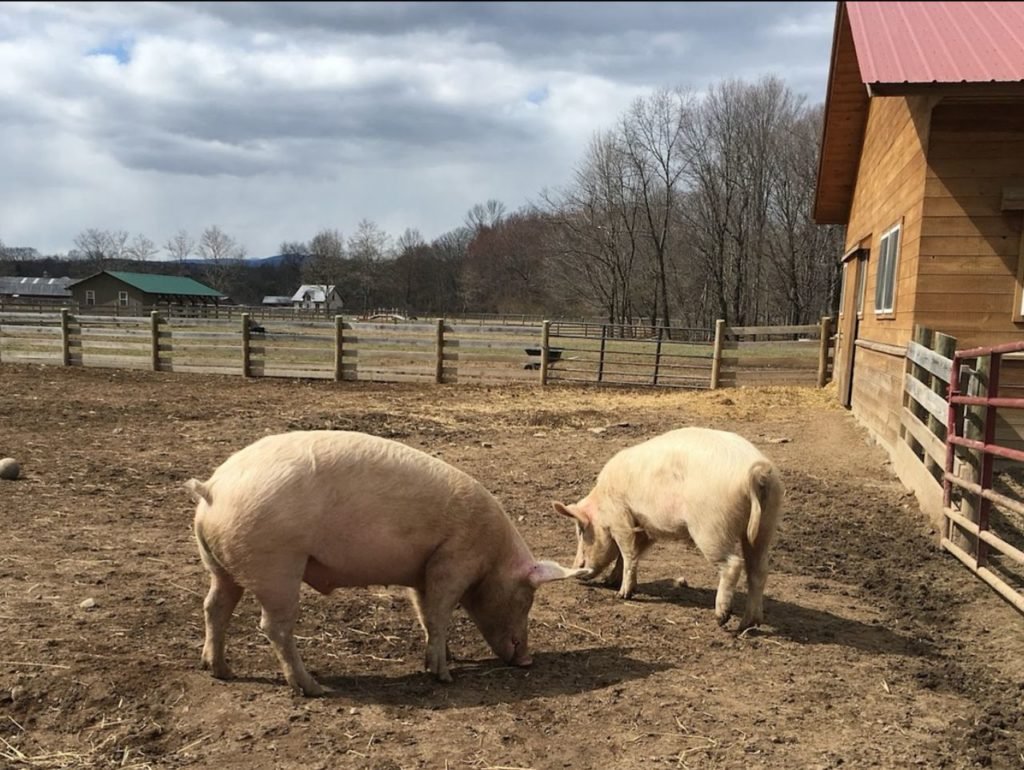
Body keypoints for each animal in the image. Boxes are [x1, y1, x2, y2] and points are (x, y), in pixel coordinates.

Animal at [184, 430, 585, 696]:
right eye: (526, 598)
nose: (528, 660)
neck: (491, 556)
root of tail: (213, 488)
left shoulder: (422, 571)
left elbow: (426, 614)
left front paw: (446, 657)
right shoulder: (453, 559)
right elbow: (440, 613)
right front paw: (445, 676)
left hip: (221, 566)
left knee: (214, 607)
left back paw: (219, 671)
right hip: (277, 565)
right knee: (273, 626)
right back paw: (314, 688)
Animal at [552, 428, 782, 630]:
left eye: (582, 531)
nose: (576, 569)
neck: (602, 502)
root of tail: (756, 471)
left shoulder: (620, 517)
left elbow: (627, 552)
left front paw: (622, 594)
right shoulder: (645, 525)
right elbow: (631, 553)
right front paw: (610, 582)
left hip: (711, 528)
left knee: (733, 564)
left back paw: (721, 619)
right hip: (766, 524)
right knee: (759, 570)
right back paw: (748, 624)